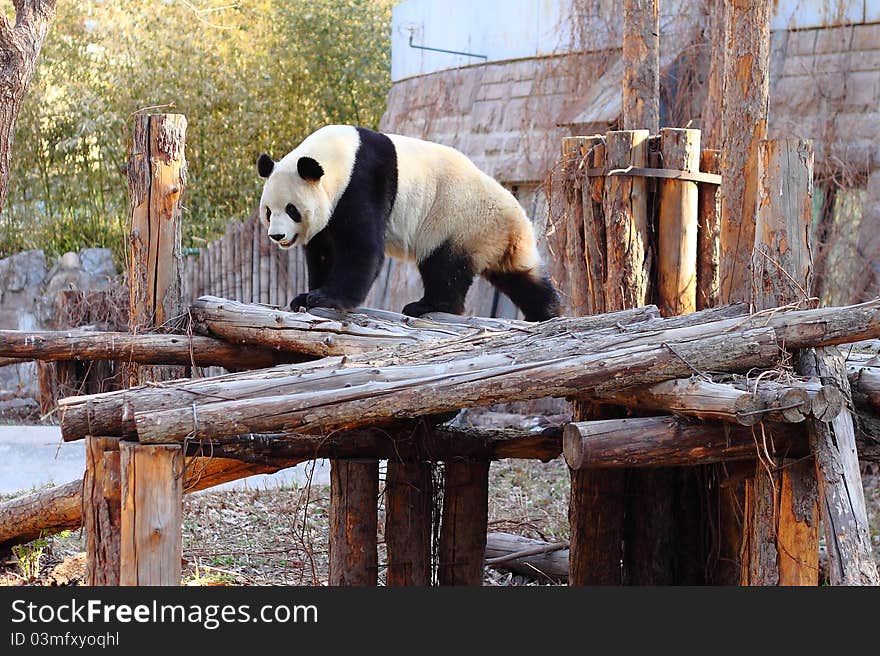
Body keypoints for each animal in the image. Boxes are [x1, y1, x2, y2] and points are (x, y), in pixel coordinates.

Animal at [256, 124, 556, 322]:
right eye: (269, 211)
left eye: (292, 210)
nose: (277, 236)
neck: (338, 156)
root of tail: (516, 223)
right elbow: (323, 251)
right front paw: (305, 296)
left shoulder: (362, 182)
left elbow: (361, 248)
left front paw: (327, 297)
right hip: (491, 238)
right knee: (519, 276)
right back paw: (548, 312)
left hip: (460, 222)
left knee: (445, 267)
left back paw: (428, 306)